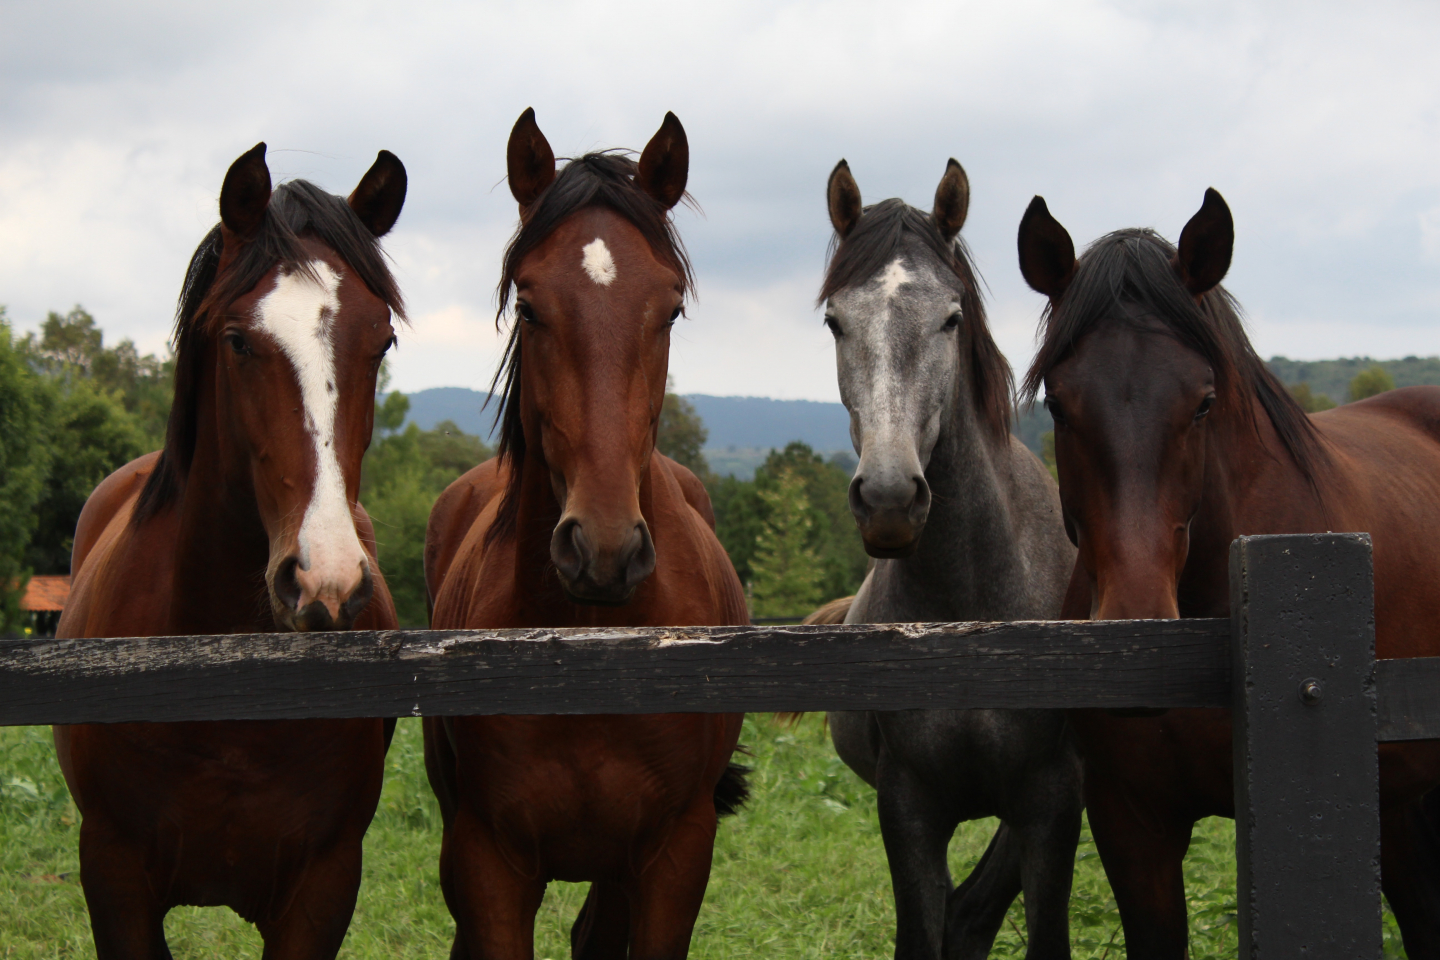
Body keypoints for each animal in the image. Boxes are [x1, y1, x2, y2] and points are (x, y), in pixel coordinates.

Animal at [53, 142, 408, 959]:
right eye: (239, 340)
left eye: (382, 341)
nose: (324, 582)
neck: (225, 679)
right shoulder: (114, 879)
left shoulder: (323, 888)